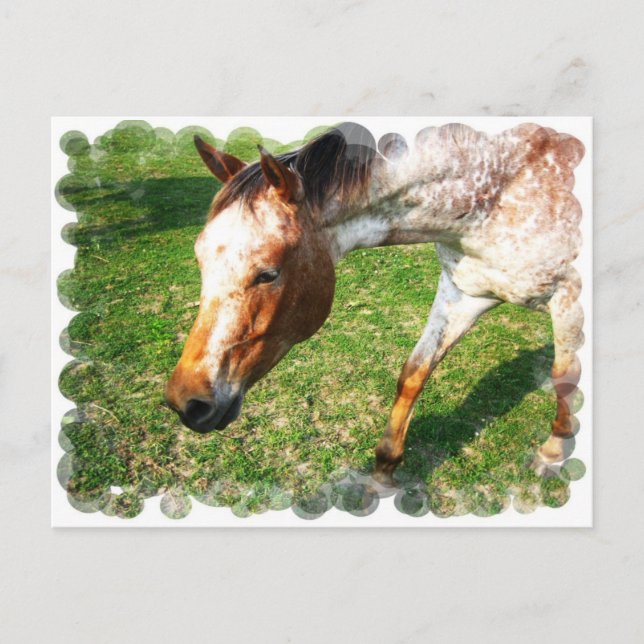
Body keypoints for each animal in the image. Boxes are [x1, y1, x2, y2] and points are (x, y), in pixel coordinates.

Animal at [165, 121, 585, 486]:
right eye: (200, 259)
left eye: (268, 274)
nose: (187, 402)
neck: (501, 193)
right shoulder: (464, 293)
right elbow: (414, 373)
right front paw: (384, 470)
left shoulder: (568, 299)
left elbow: (564, 375)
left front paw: (553, 454)